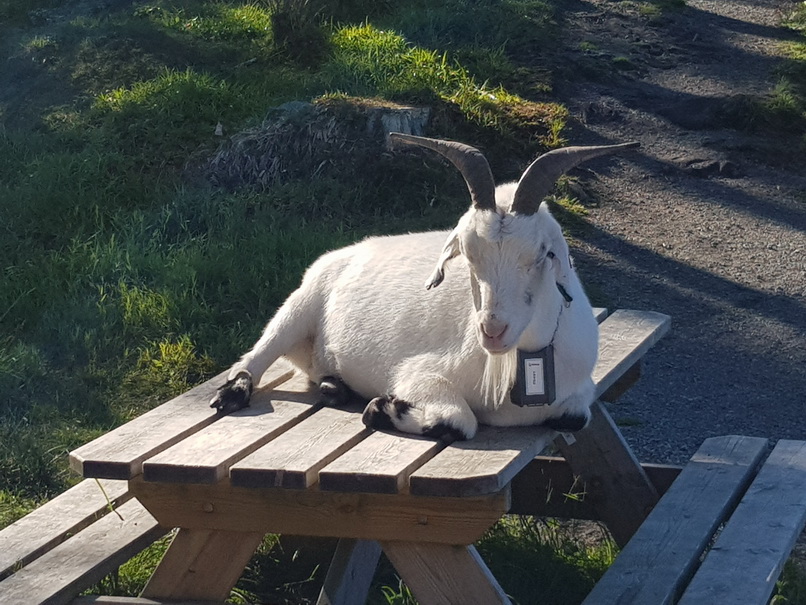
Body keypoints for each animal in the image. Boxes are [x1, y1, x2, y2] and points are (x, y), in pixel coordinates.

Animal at [211, 133, 640, 438]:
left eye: (541, 254)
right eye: (468, 254)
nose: (492, 330)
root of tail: (346, 252)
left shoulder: (580, 394)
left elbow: (574, 417)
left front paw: (380, 406)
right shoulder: (419, 375)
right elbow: (459, 420)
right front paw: (385, 408)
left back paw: (336, 387)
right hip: (300, 306)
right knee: (254, 356)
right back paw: (232, 393)